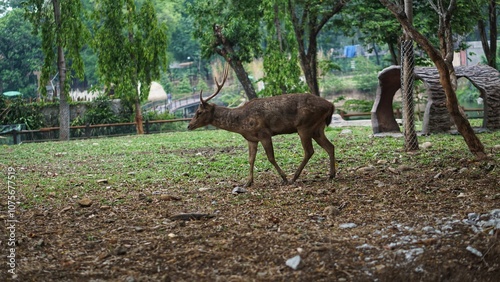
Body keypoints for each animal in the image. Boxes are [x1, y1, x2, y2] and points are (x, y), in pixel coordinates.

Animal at [188, 66, 336, 187]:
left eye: (199, 112)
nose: (189, 125)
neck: (241, 123)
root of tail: (331, 105)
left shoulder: (264, 133)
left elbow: (271, 157)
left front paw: (284, 178)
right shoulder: (251, 138)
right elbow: (250, 159)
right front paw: (248, 182)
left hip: (304, 125)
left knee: (309, 151)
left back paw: (294, 178)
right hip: (317, 128)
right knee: (330, 146)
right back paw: (331, 174)